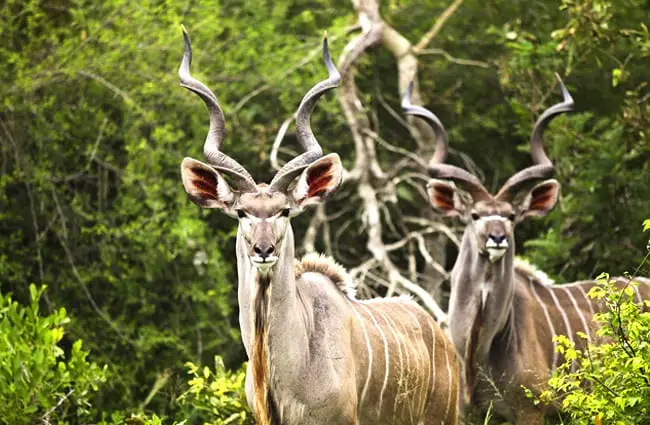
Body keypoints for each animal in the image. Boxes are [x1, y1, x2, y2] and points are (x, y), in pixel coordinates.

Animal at [400, 77, 648, 424]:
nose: (497, 237)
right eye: (474, 215)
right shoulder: (466, 413)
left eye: (512, 216)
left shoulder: (531, 410)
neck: (478, 349)